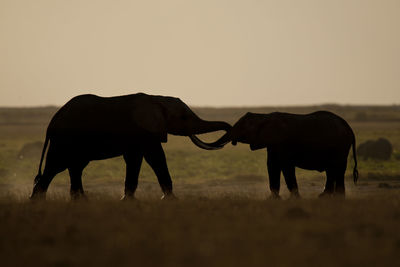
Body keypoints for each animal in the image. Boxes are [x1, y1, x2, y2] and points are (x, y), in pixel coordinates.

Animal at [30, 94, 231, 201]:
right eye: (183, 117)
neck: (158, 98)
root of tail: (52, 121)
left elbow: (138, 159)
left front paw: (129, 200)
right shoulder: (143, 131)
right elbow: (155, 157)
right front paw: (171, 200)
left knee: (75, 167)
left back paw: (80, 202)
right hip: (64, 141)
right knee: (56, 166)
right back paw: (38, 203)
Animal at [198, 111, 360, 199]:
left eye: (243, 128)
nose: (233, 141)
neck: (264, 116)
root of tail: (350, 129)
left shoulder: (282, 142)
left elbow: (286, 167)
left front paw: (294, 199)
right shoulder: (272, 144)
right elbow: (272, 166)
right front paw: (273, 199)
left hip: (339, 147)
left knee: (335, 169)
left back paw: (327, 198)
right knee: (333, 170)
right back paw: (332, 198)